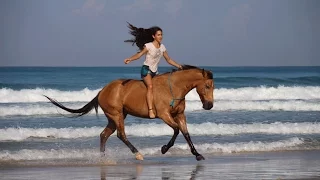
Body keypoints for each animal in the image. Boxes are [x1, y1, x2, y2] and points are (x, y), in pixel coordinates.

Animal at [44, 64, 215, 160]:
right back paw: (138, 154)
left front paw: (197, 154)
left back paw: (103, 157)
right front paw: (164, 149)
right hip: (117, 115)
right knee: (121, 135)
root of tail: (102, 91)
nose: (209, 105)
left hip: (115, 117)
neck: (172, 88)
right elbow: (177, 130)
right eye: (207, 86)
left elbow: (186, 133)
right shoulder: (164, 115)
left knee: (104, 135)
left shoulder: (179, 115)